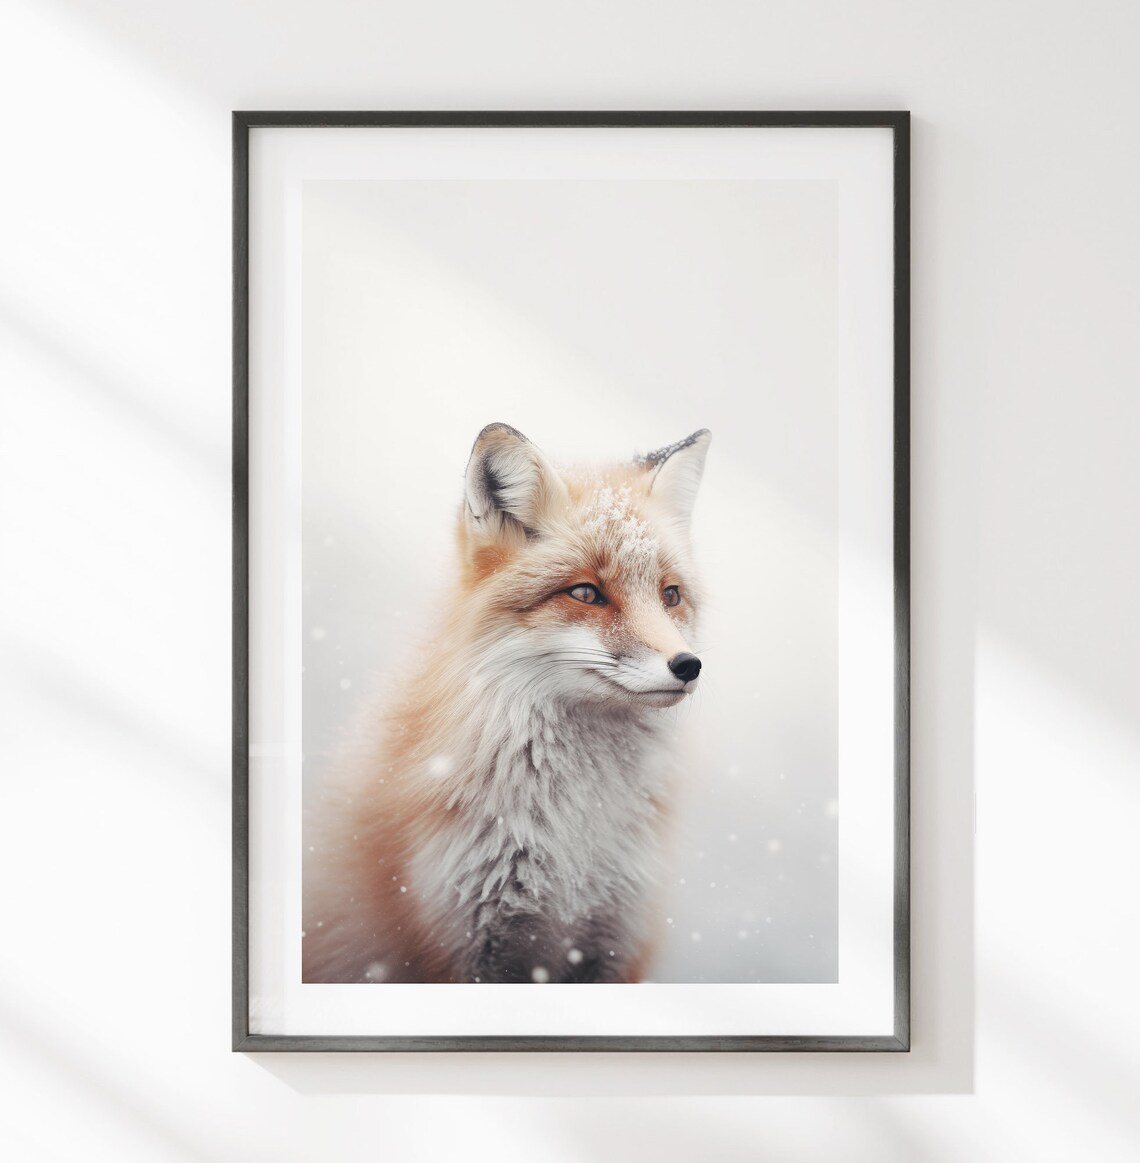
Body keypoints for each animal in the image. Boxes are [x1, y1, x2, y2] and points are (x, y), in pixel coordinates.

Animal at [302, 422, 711, 984]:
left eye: (670, 595)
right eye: (586, 593)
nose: (688, 665)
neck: (577, 840)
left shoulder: (613, 942)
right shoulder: (465, 939)